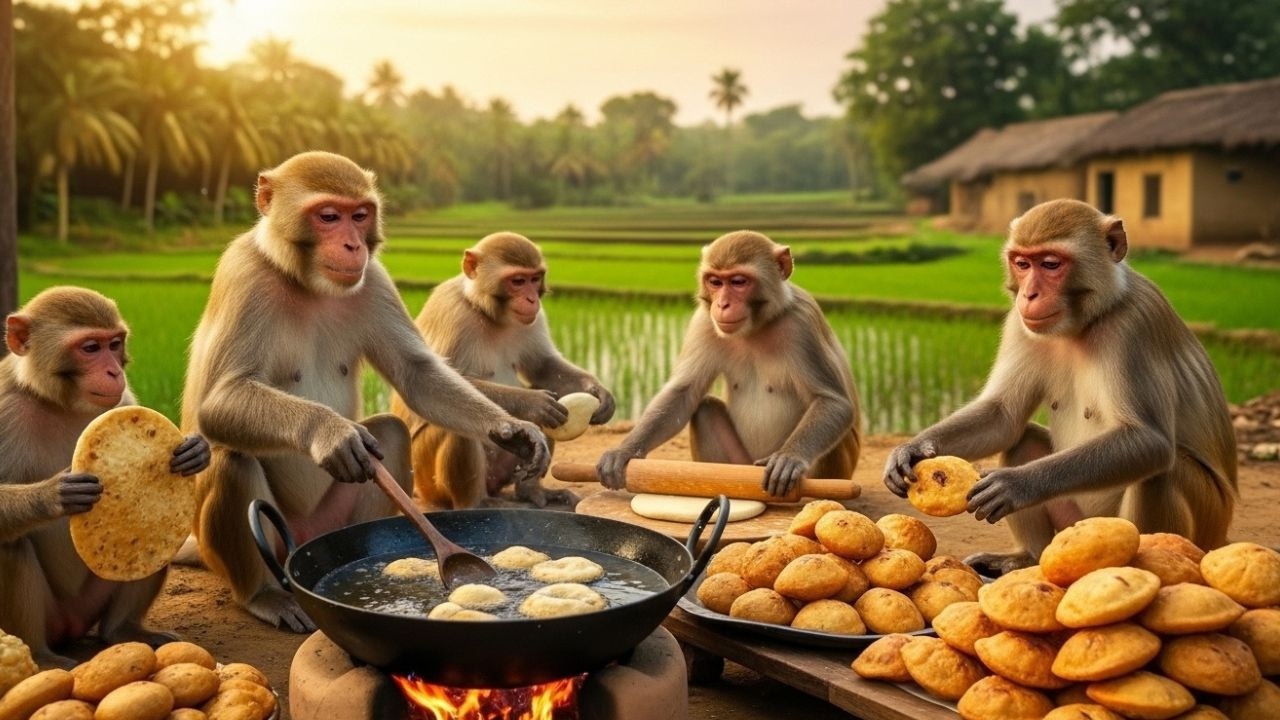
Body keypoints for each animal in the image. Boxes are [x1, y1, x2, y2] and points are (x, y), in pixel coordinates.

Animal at [0, 286, 210, 668]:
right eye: (90, 348)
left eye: (114, 344)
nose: (113, 372)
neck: (60, 403)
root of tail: (70, 626)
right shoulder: (4, 409)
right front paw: (53, 495)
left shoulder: (124, 400)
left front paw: (197, 451)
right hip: (54, 615)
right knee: (10, 543)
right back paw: (39, 655)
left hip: (94, 600)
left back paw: (124, 630)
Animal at [182, 151, 550, 632]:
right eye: (328, 216)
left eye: (359, 216)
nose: (353, 246)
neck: (304, 281)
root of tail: (300, 536)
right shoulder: (242, 273)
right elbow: (216, 402)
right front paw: (332, 433)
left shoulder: (372, 278)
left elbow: (417, 374)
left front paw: (512, 429)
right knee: (231, 457)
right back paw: (262, 594)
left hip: (325, 520)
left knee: (389, 433)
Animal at [390, 232, 615, 509]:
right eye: (517, 281)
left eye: (534, 279)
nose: (532, 299)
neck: (484, 310)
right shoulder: (451, 311)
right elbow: (436, 380)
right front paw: (534, 402)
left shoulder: (535, 317)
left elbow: (543, 367)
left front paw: (598, 392)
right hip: (427, 478)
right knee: (456, 425)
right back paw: (477, 503)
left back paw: (531, 491)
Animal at [596, 230, 861, 497]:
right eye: (715, 282)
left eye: (738, 282)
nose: (722, 304)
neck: (756, 327)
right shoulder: (705, 321)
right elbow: (683, 392)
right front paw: (625, 451)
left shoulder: (802, 323)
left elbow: (833, 402)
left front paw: (790, 457)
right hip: (739, 463)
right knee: (705, 409)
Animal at [883, 198, 1237, 577]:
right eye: (1022, 263)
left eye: (1051, 264)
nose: (1029, 294)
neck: (1086, 321)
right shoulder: (1020, 323)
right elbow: (1003, 416)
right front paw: (912, 450)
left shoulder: (1136, 325)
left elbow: (1149, 439)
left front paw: (1018, 484)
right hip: (1072, 521)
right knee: (1023, 441)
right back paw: (1026, 558)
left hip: (1201, 523)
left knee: (1162, 473)